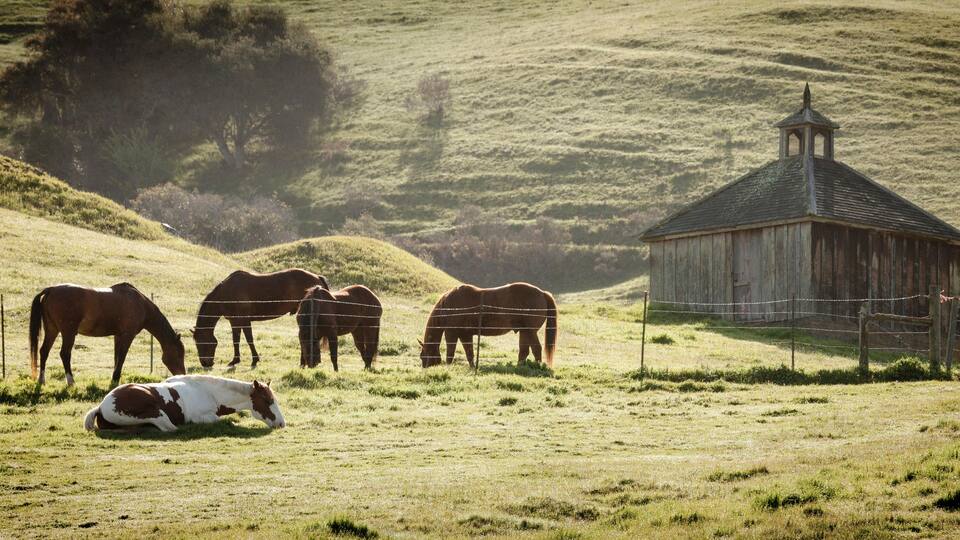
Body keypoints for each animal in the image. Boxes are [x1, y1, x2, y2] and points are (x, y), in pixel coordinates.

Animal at [29, 283, 186, 386]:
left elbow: (116, 358)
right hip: (68, 333)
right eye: (179, 355)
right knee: (64, 354)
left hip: (52, 330)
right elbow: (121, 358)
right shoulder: (127, 336)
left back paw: (42, 380)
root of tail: (51, 290)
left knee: (44, 351)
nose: (182, 374)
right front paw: (115, 379)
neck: (141, 304)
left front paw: (114, 379)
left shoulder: (118, 336)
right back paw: (71, 381)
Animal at [83, 375, 284, 432]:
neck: (208, 393)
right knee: (168, 428)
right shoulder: (203, 417)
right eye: (268, 401)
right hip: (155, 412)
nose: (282, 423)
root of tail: (101, 406)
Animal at [191, 269, 329, 369]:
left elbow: (249, 339)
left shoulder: (244, 320)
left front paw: (254, 360)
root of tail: (317, 278)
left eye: (201, 343)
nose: (205, 363)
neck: (226, 293)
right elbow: (236, 340)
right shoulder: (235, 321)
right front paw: (235, 360)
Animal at [418, 282, 557, 369]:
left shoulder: (451, 333)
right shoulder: (465, 335)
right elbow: (469, 352)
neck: (449, 306)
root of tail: (542, 293)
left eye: (422, 356)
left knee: (536, 349)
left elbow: (450, 353)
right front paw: (472, 367)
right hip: (524, 332)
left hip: (530, 331)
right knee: (524, 351)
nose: (424, 368)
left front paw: (448, 367)